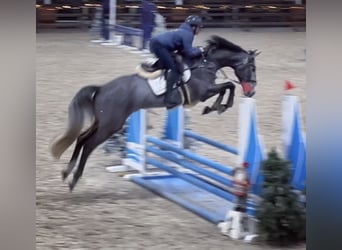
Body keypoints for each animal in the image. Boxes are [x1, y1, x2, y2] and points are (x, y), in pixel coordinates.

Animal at [50, 35, 260, 191]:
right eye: (252, 67)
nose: (252, 92)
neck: (206, 63)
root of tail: (101, 89)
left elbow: (227, 87)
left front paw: (215, 107)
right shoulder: (202, 93)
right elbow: (229, 86)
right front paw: (218, 107)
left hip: (102, 122)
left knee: (81, 138)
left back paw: (66, 172)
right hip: (110, 126)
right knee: (89, 145)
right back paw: (74, 179)